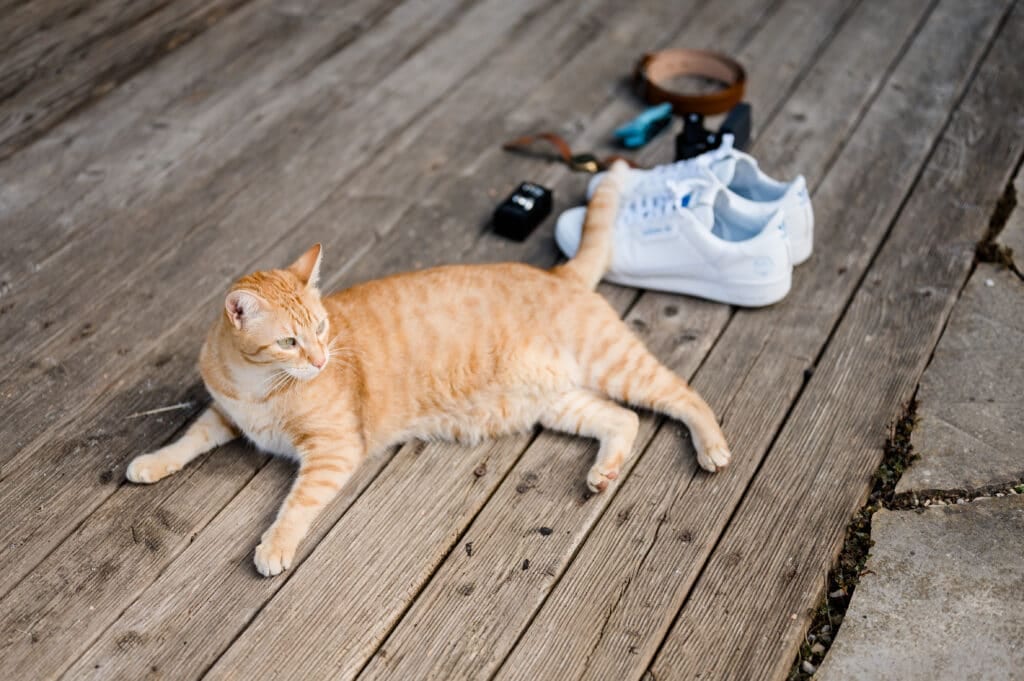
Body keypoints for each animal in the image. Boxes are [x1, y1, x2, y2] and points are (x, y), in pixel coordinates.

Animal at [126, 162, 731, 577]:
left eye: (321, 329)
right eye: (289, 342)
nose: (320, 359)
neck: (259, 389)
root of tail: (555, 272)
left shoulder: (332, 450)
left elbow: (295, 505)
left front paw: (274, 546)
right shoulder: (225, 415)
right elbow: (187, 438)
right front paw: (152, 463)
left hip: (615, 363)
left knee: (683, 395)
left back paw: (713, 448)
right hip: (556, 400)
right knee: (621, 420)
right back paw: (604, 473)